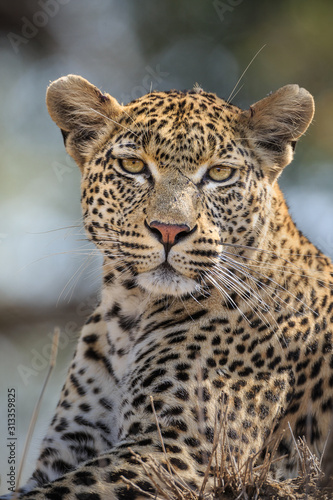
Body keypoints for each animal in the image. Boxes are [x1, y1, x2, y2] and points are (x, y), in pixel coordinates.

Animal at [4, 75, 332, 500]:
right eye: (133, 166)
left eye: (220, 173)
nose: (169, 230)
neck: (130, 314)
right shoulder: (70, 445)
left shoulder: (174, 452)